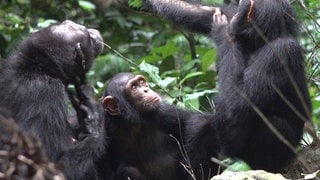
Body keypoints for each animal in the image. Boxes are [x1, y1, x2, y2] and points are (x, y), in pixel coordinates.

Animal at [0, 20, 105, 180]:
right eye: (88, 36)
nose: (93, 31)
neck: (36, 69)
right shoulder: (45, 94)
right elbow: (45, 164)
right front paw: (93, 117)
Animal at [145, 0, 312, 179]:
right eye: (238, 7)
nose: (239, 10)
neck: (261, 41)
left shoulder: (280, 52)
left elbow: (238, 103)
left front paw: (222, 31)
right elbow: (197, 12)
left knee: (276, 124)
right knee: (203, 127)